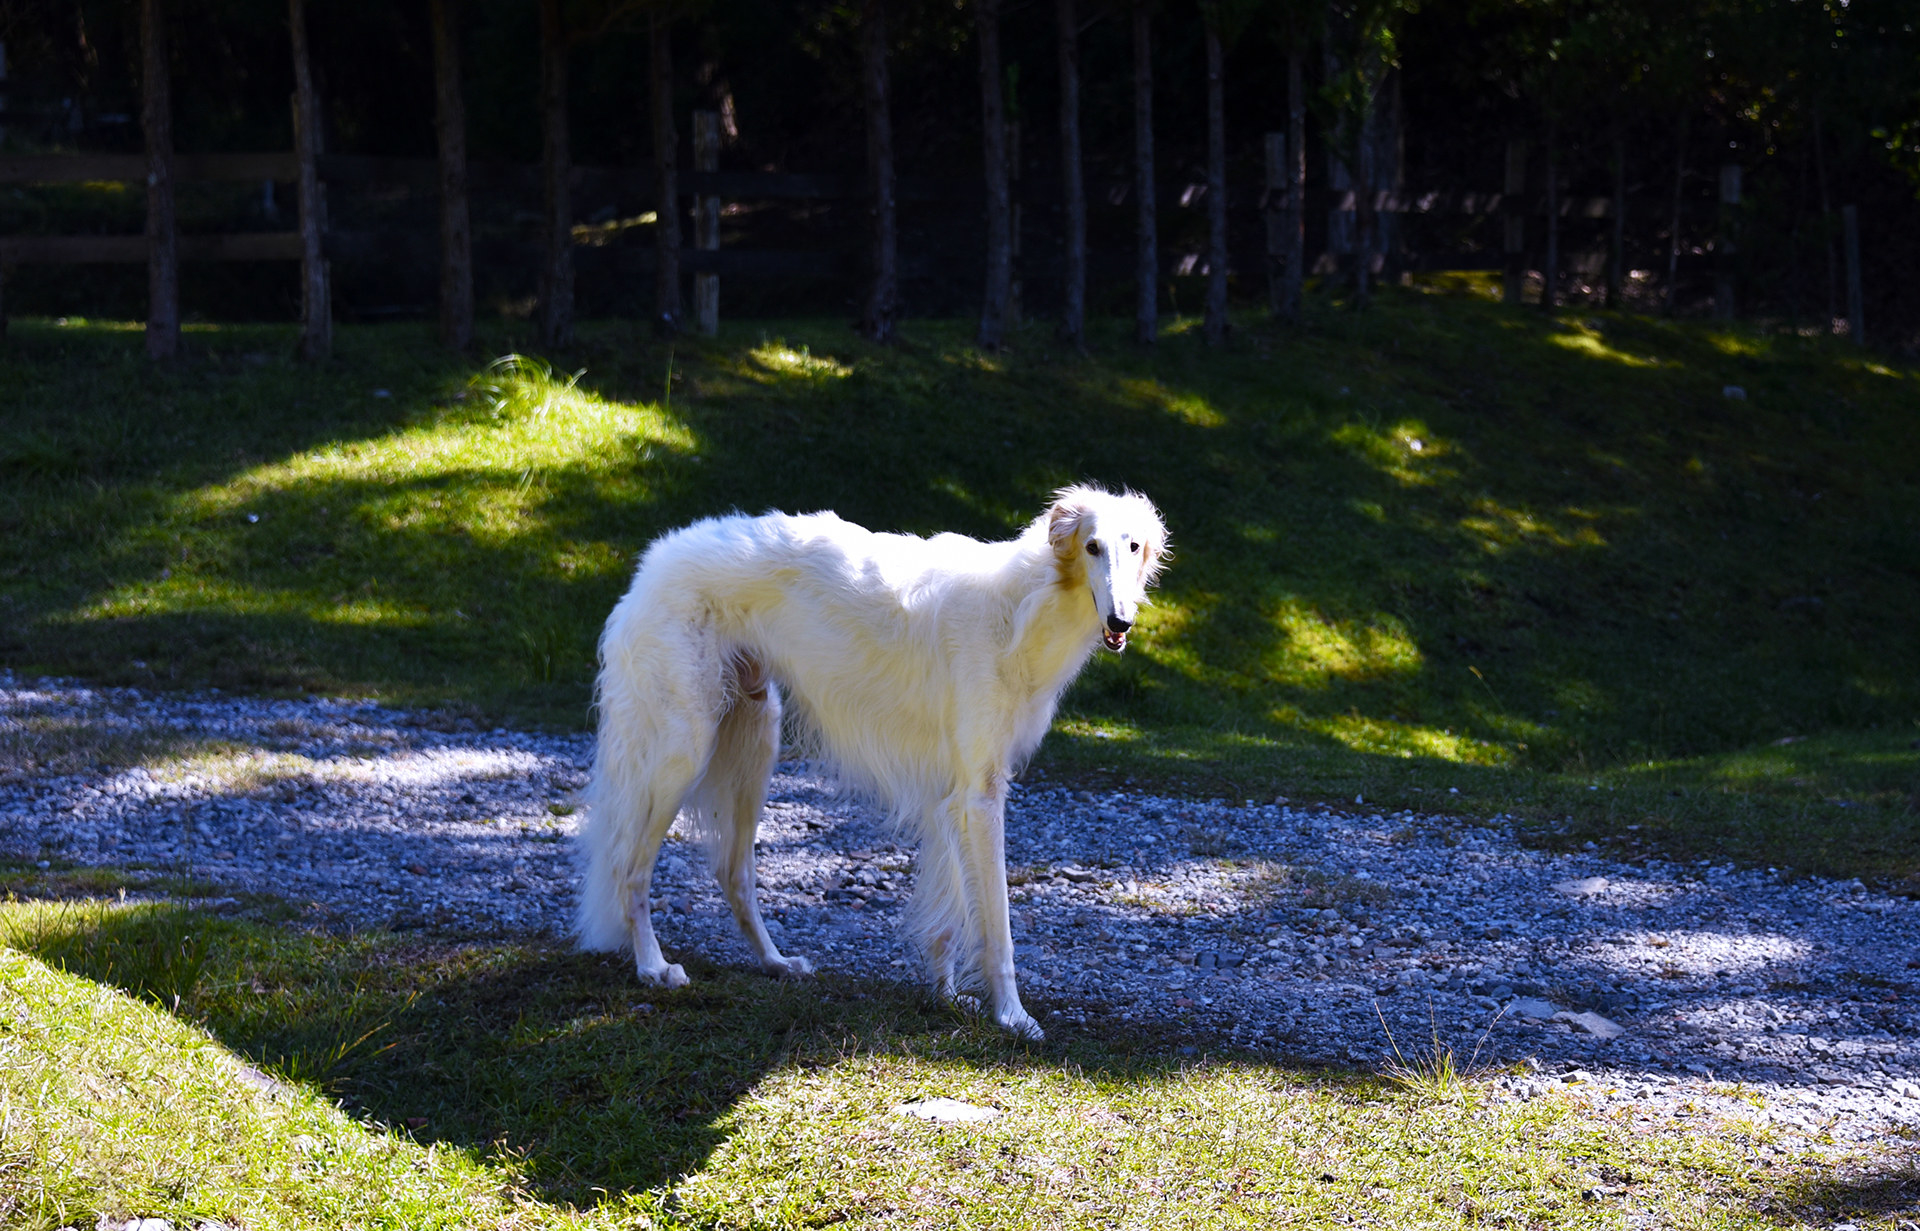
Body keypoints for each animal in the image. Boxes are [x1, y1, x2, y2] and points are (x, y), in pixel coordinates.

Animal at [572, 483, 1167, 1029]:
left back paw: (775, 961)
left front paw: (946, 994)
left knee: (731, 872)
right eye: (1091, 546)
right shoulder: (980, 793)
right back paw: (653, 966)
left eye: (1134, 545)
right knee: (629, 867)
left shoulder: (951, 792)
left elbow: (947, 914)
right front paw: (1013, 1016)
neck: (1021, 606)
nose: (1120, 622)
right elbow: (997, 927)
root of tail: (654, 561)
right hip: (684, 749)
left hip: (755, 739)